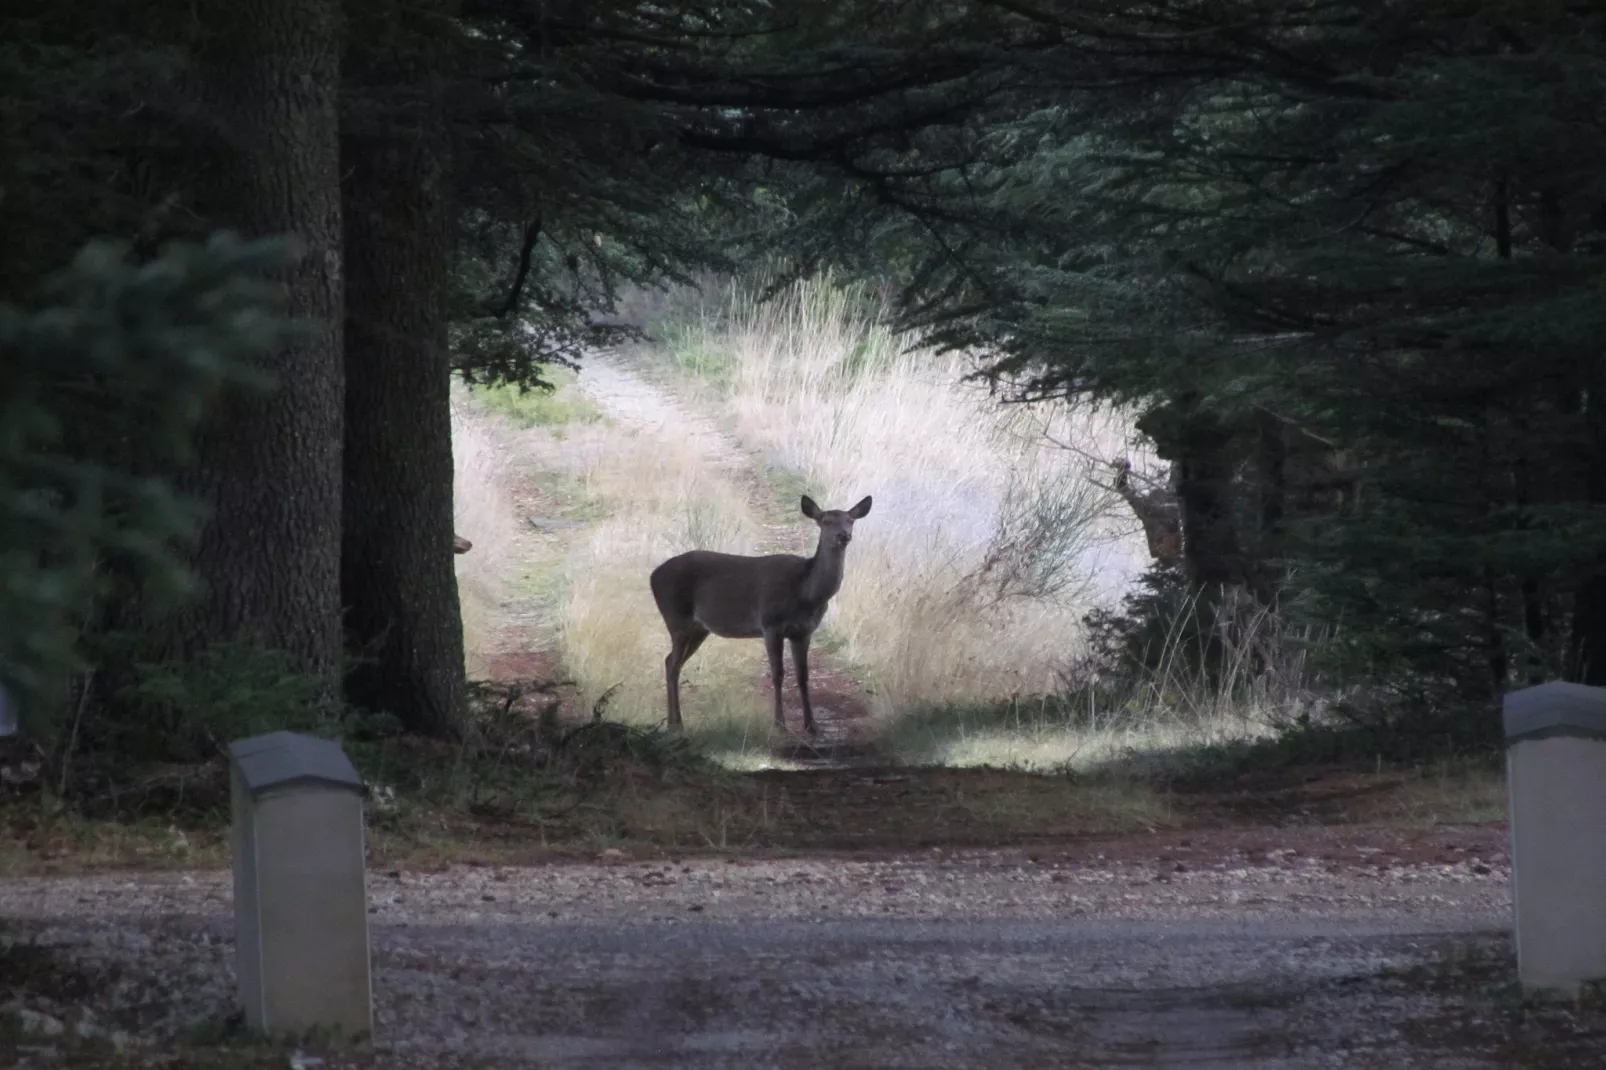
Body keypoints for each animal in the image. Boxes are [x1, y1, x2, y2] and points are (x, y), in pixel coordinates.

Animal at [648, 494, 873, 732]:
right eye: (825, 521)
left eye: (850, 520)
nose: (844, 535)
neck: (805, 592)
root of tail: (653, 575)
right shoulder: (770, 624)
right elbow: (778, 673)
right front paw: (780, 724)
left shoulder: (803, 631)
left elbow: (803, 676)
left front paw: (811, 725)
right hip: (676, 618)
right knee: (672, 664)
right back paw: (675, 724)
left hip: (698, 628)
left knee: (670, 661)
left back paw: (674, 722)